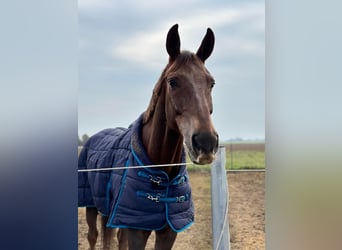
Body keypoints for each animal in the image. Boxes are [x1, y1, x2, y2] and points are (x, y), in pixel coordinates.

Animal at [78, 23, 218, 250]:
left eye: (211, 83)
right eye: (173, 81)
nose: (206, 143)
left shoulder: (168, 232)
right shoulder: (137, 230)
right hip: (91, 206)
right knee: (93, 236)